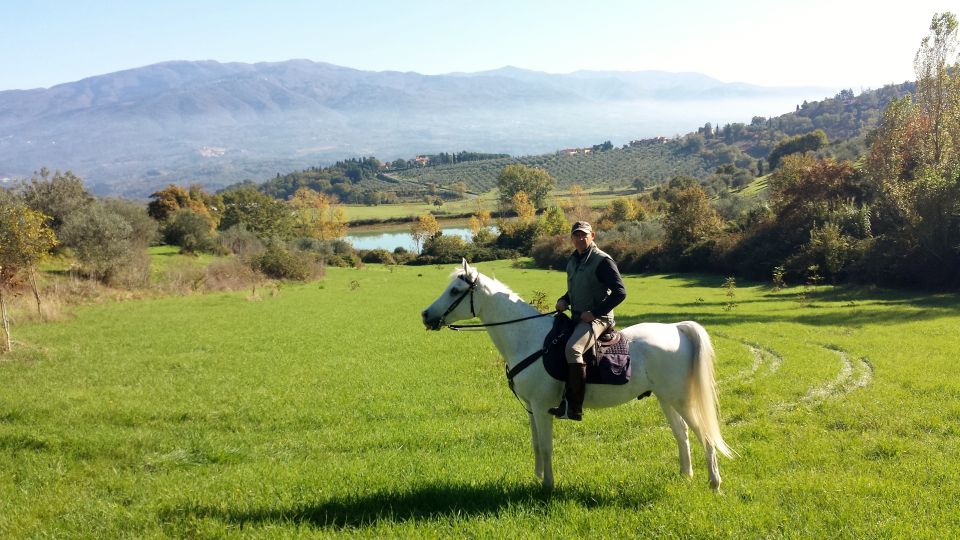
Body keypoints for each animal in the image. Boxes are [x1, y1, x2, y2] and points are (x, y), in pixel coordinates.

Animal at [421, 259, 733, 491]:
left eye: (454, 290)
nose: (425, 315)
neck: (530, 339)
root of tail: (677, 329)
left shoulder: (542, 408)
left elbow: (547, 447)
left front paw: (548, 486)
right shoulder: (531, 409)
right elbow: (536, 444)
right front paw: (538, 478)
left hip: (680, 400)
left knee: (705, 435)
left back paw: (714, 483)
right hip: (666, 399)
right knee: (681, 433)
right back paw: (685, 476)